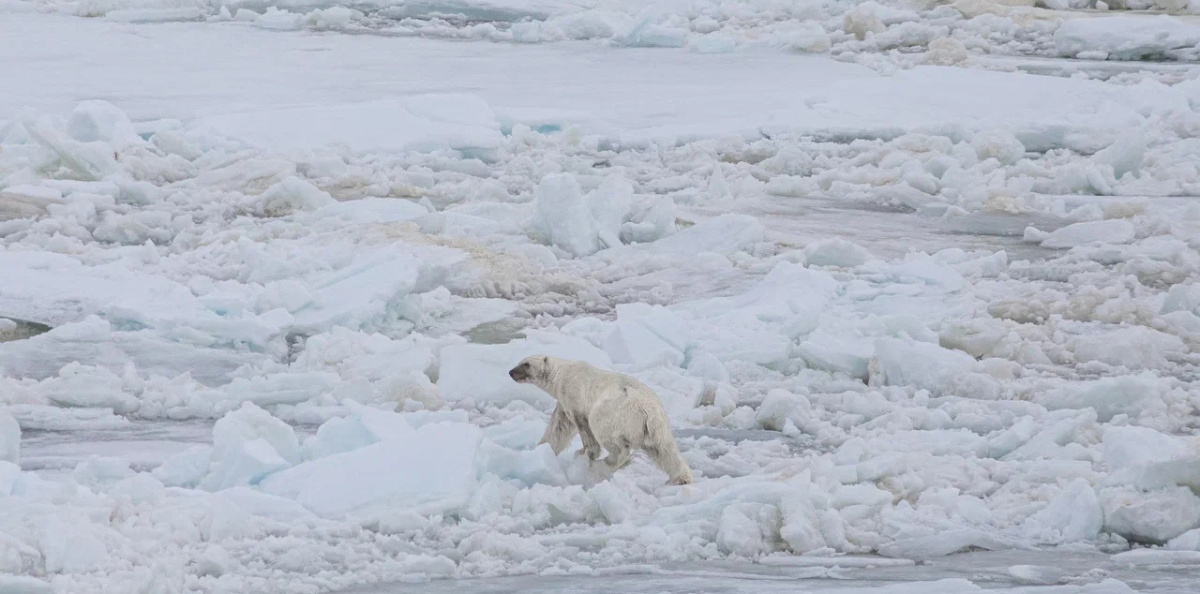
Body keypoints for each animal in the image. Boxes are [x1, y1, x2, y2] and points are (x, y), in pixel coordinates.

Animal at [509, 355, 694, 485]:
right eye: (520, 361)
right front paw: (542, 449)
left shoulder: (573, 396)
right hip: (658, 426)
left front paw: (583, 454)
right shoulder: (563, 402)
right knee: (665, 450)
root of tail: (646, 411)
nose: (511, 372)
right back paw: (681, 478)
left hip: (612, 414)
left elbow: (582, 427)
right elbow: (558, 428)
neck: (562, 373)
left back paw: (606, 463)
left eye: (526, 364)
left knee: (610, 439)